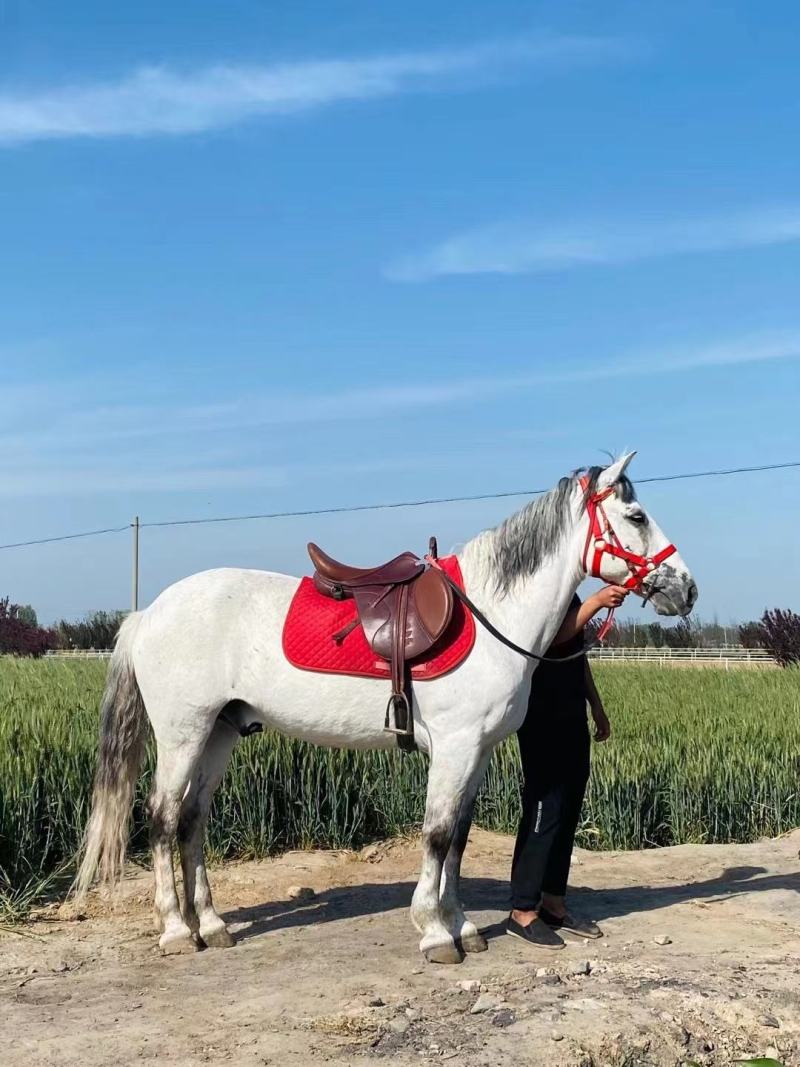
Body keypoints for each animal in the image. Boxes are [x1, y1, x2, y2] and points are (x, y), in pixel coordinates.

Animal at [75, 453, 696, 964]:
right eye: (636, 516)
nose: (687, 590)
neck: (490, 613)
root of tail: (148, 613)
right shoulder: (454, 747)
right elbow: (438, 835)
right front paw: (435, 933)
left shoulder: (476, 752)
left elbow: (459, 837)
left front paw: (462, 925)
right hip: (183, 732)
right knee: (160, 816)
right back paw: (177, 930)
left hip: (220, 733)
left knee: (192, 820)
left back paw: (211, 924)